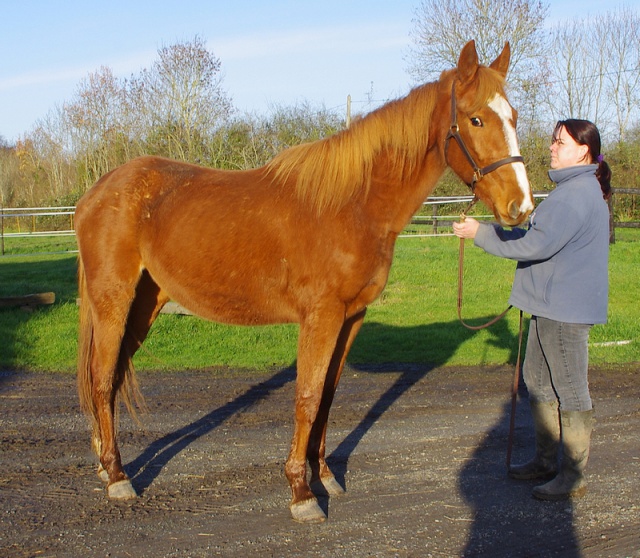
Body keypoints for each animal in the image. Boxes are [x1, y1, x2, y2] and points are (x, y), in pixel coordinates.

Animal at [75, 40, 532, 524]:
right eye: (476, 119)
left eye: (514, 116)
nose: (520, 207)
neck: (354, 204)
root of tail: (96, 193)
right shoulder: (321, 316)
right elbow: (308, 397)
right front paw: (300, 492)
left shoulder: (351, 317)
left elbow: (328, 395)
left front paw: (324, 475)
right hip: (113, 300)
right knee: (102, 379)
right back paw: (118, 477)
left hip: (145, 303)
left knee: (112, 376)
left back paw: (105, 465)